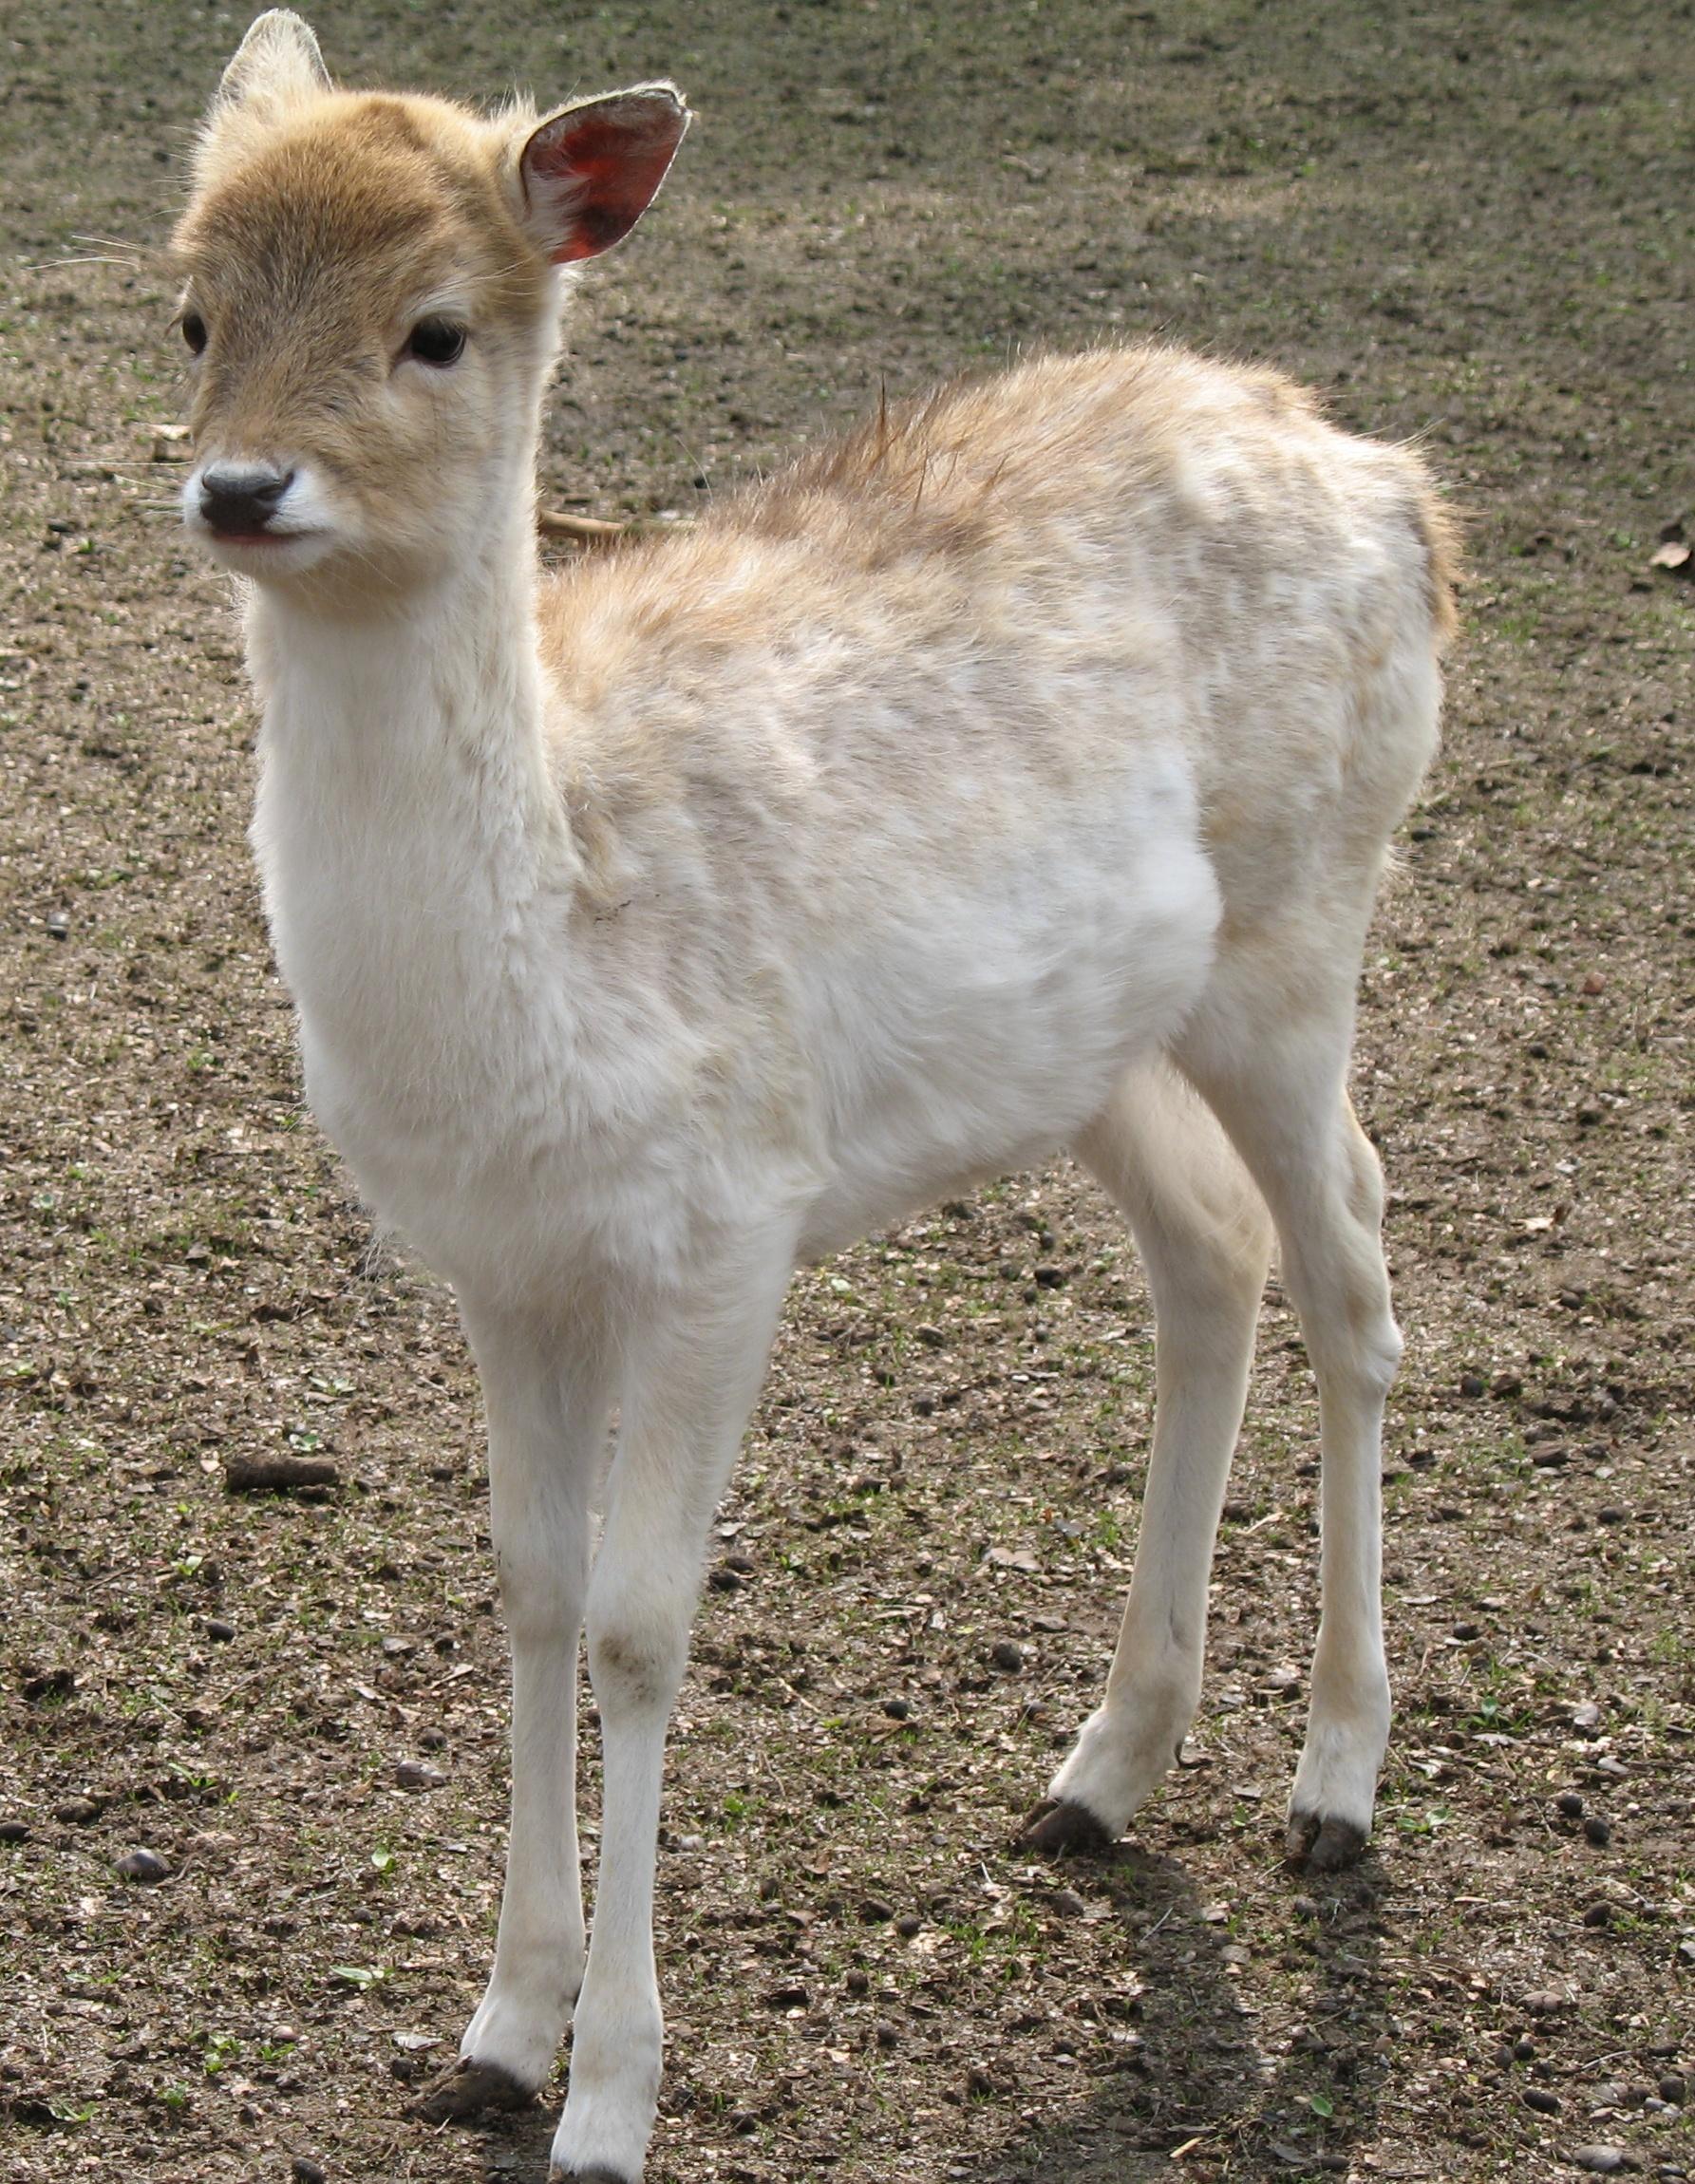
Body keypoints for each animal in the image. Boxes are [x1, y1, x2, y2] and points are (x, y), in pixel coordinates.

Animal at [176, 16, 1459, 2184]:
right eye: (192, 310)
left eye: (435, 328)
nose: (240, 482)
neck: (543, 961)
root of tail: (1400, 488)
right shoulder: (502, 1265)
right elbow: (527, 1590)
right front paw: (491, 2037)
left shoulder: (724, 1223)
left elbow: (638, 1623)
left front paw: (610, 2099)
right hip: (1096, 1033)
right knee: (1213, 1254)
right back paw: (1100, 1771)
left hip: (1307, 921)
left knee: (1358, 1262)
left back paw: (1333, 1784)